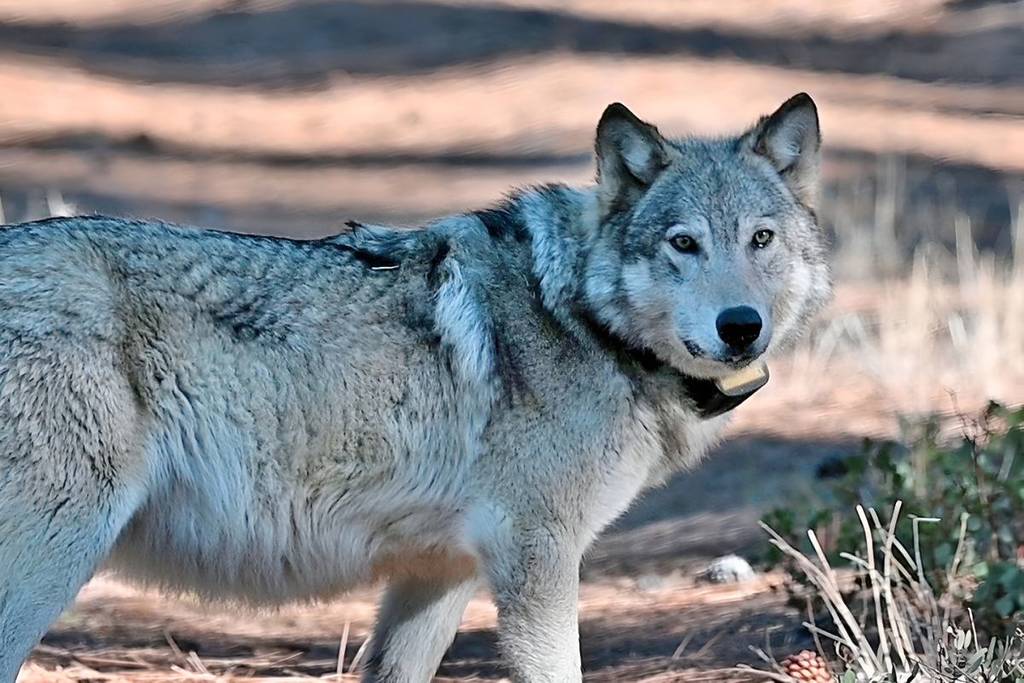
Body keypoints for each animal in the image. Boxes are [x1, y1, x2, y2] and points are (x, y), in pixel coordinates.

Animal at [0, 93, 830, 682]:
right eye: (683, 243)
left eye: (761, 239)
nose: (741, 326)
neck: (580, 316)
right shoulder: (538, 557)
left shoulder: (439, 572)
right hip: (54, 555)